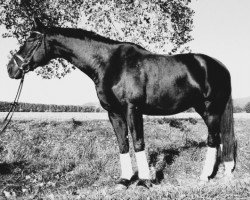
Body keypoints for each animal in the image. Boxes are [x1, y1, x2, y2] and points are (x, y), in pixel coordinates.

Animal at [6, 18, 236, 188]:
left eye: (31, 39)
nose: (11, 68)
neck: (110, 64)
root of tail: (220, 66)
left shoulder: (132, 110)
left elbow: (138, 142)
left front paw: (144, 181)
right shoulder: (114, 113)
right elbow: (123, 144)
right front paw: (124, 180)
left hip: (211, 109)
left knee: (213, 139)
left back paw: (205, 176)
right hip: (205, 110)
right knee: (220, 138)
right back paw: (224, 171)